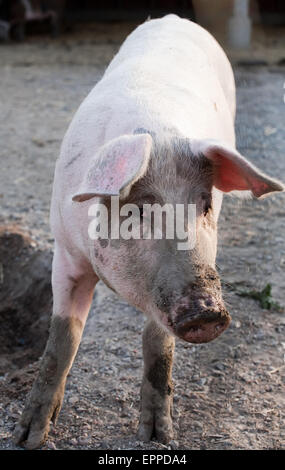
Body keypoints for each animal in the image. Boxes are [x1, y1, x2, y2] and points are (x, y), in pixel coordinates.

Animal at [15, 13, 282, 448]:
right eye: (139, 209)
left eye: (205, 205)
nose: (207, 311)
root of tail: (176, 17)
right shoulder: (65, 252)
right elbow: (62, 339)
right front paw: (28, 437)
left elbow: (158, 343)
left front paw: (157, 436)